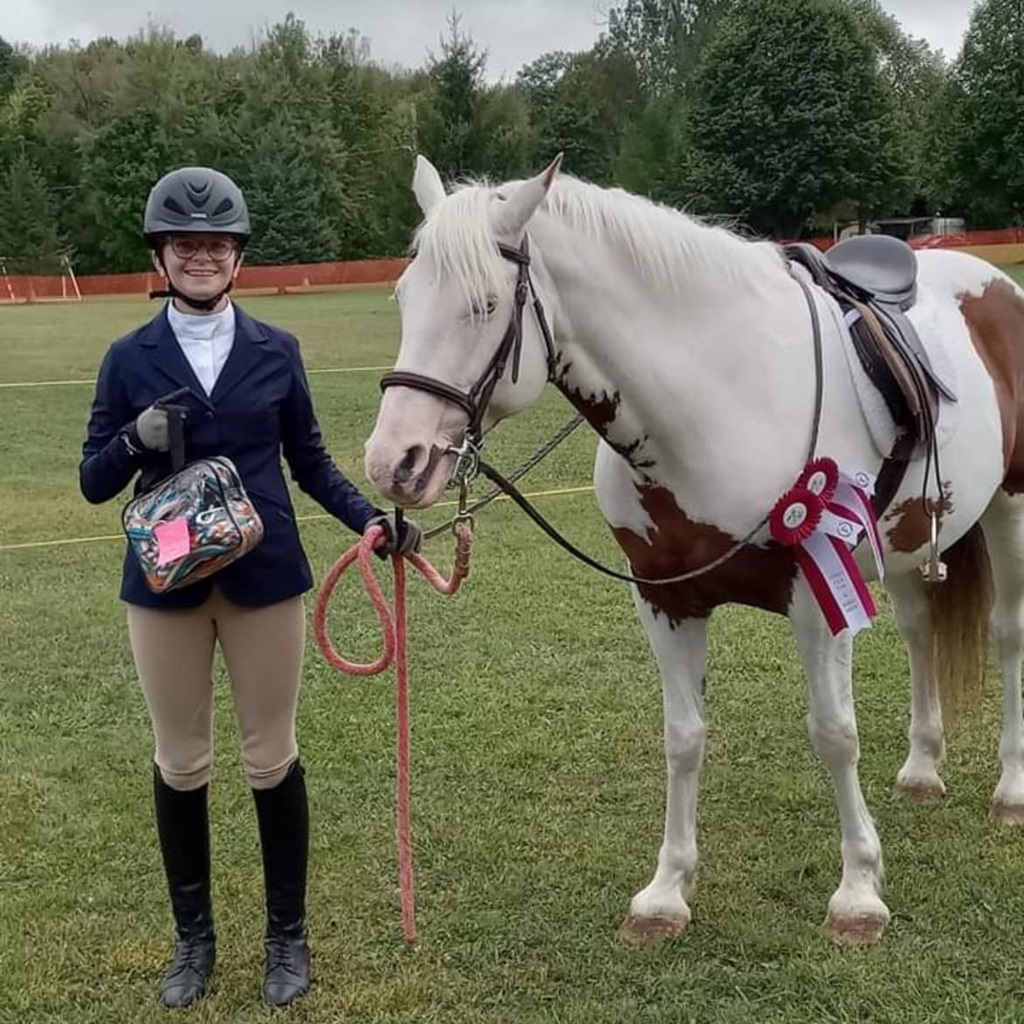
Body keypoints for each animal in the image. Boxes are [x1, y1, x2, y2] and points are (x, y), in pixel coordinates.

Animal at [363, 153, 1024, 946]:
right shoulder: (664, 599)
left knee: (1008, 635)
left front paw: (859, 891)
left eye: (486, 306)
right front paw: (666, 892)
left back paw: (1011, 790)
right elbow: (683, 738)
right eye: (403, 298)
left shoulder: (818, 596)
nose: (393, 462)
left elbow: (834, 733)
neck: (721, 399)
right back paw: (922, 770)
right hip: (906, 546)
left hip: (1010, 509)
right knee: (920, 633)